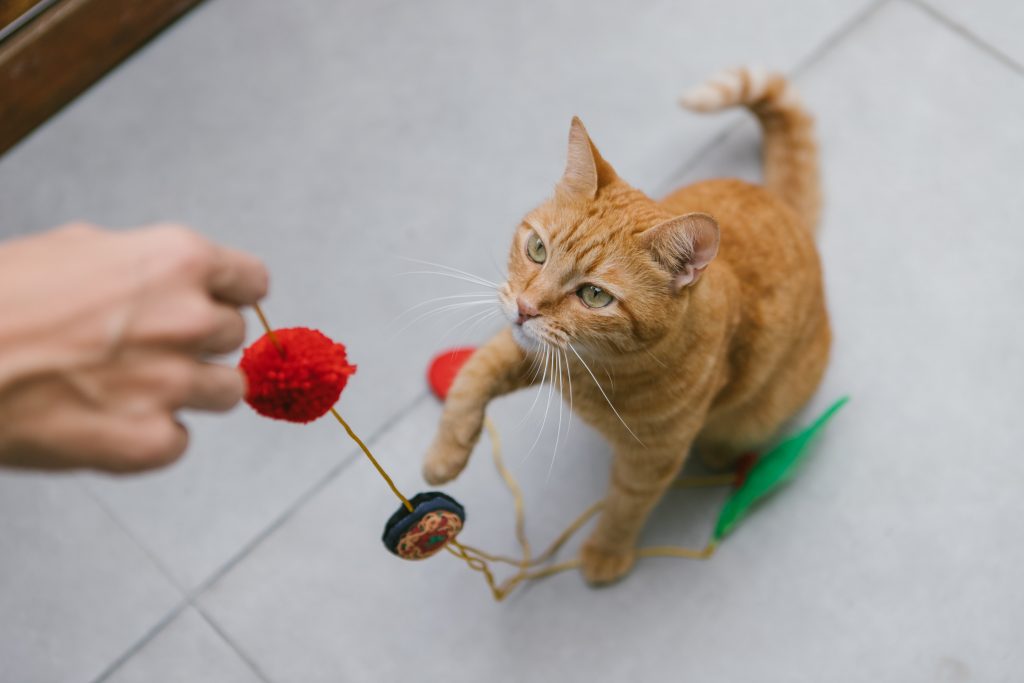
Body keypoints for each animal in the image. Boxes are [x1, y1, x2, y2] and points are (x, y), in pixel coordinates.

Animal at [423, 68, 831, 581]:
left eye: (594, 295)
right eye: (537, 249)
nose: (525, 307)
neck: (596, 373)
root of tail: (781, 203)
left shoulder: (651, 459)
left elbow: (626, 504)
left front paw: (606, 552)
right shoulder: (527, 348)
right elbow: (473, 375)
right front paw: (445, 456)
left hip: (761, 414)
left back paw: (719, 451)